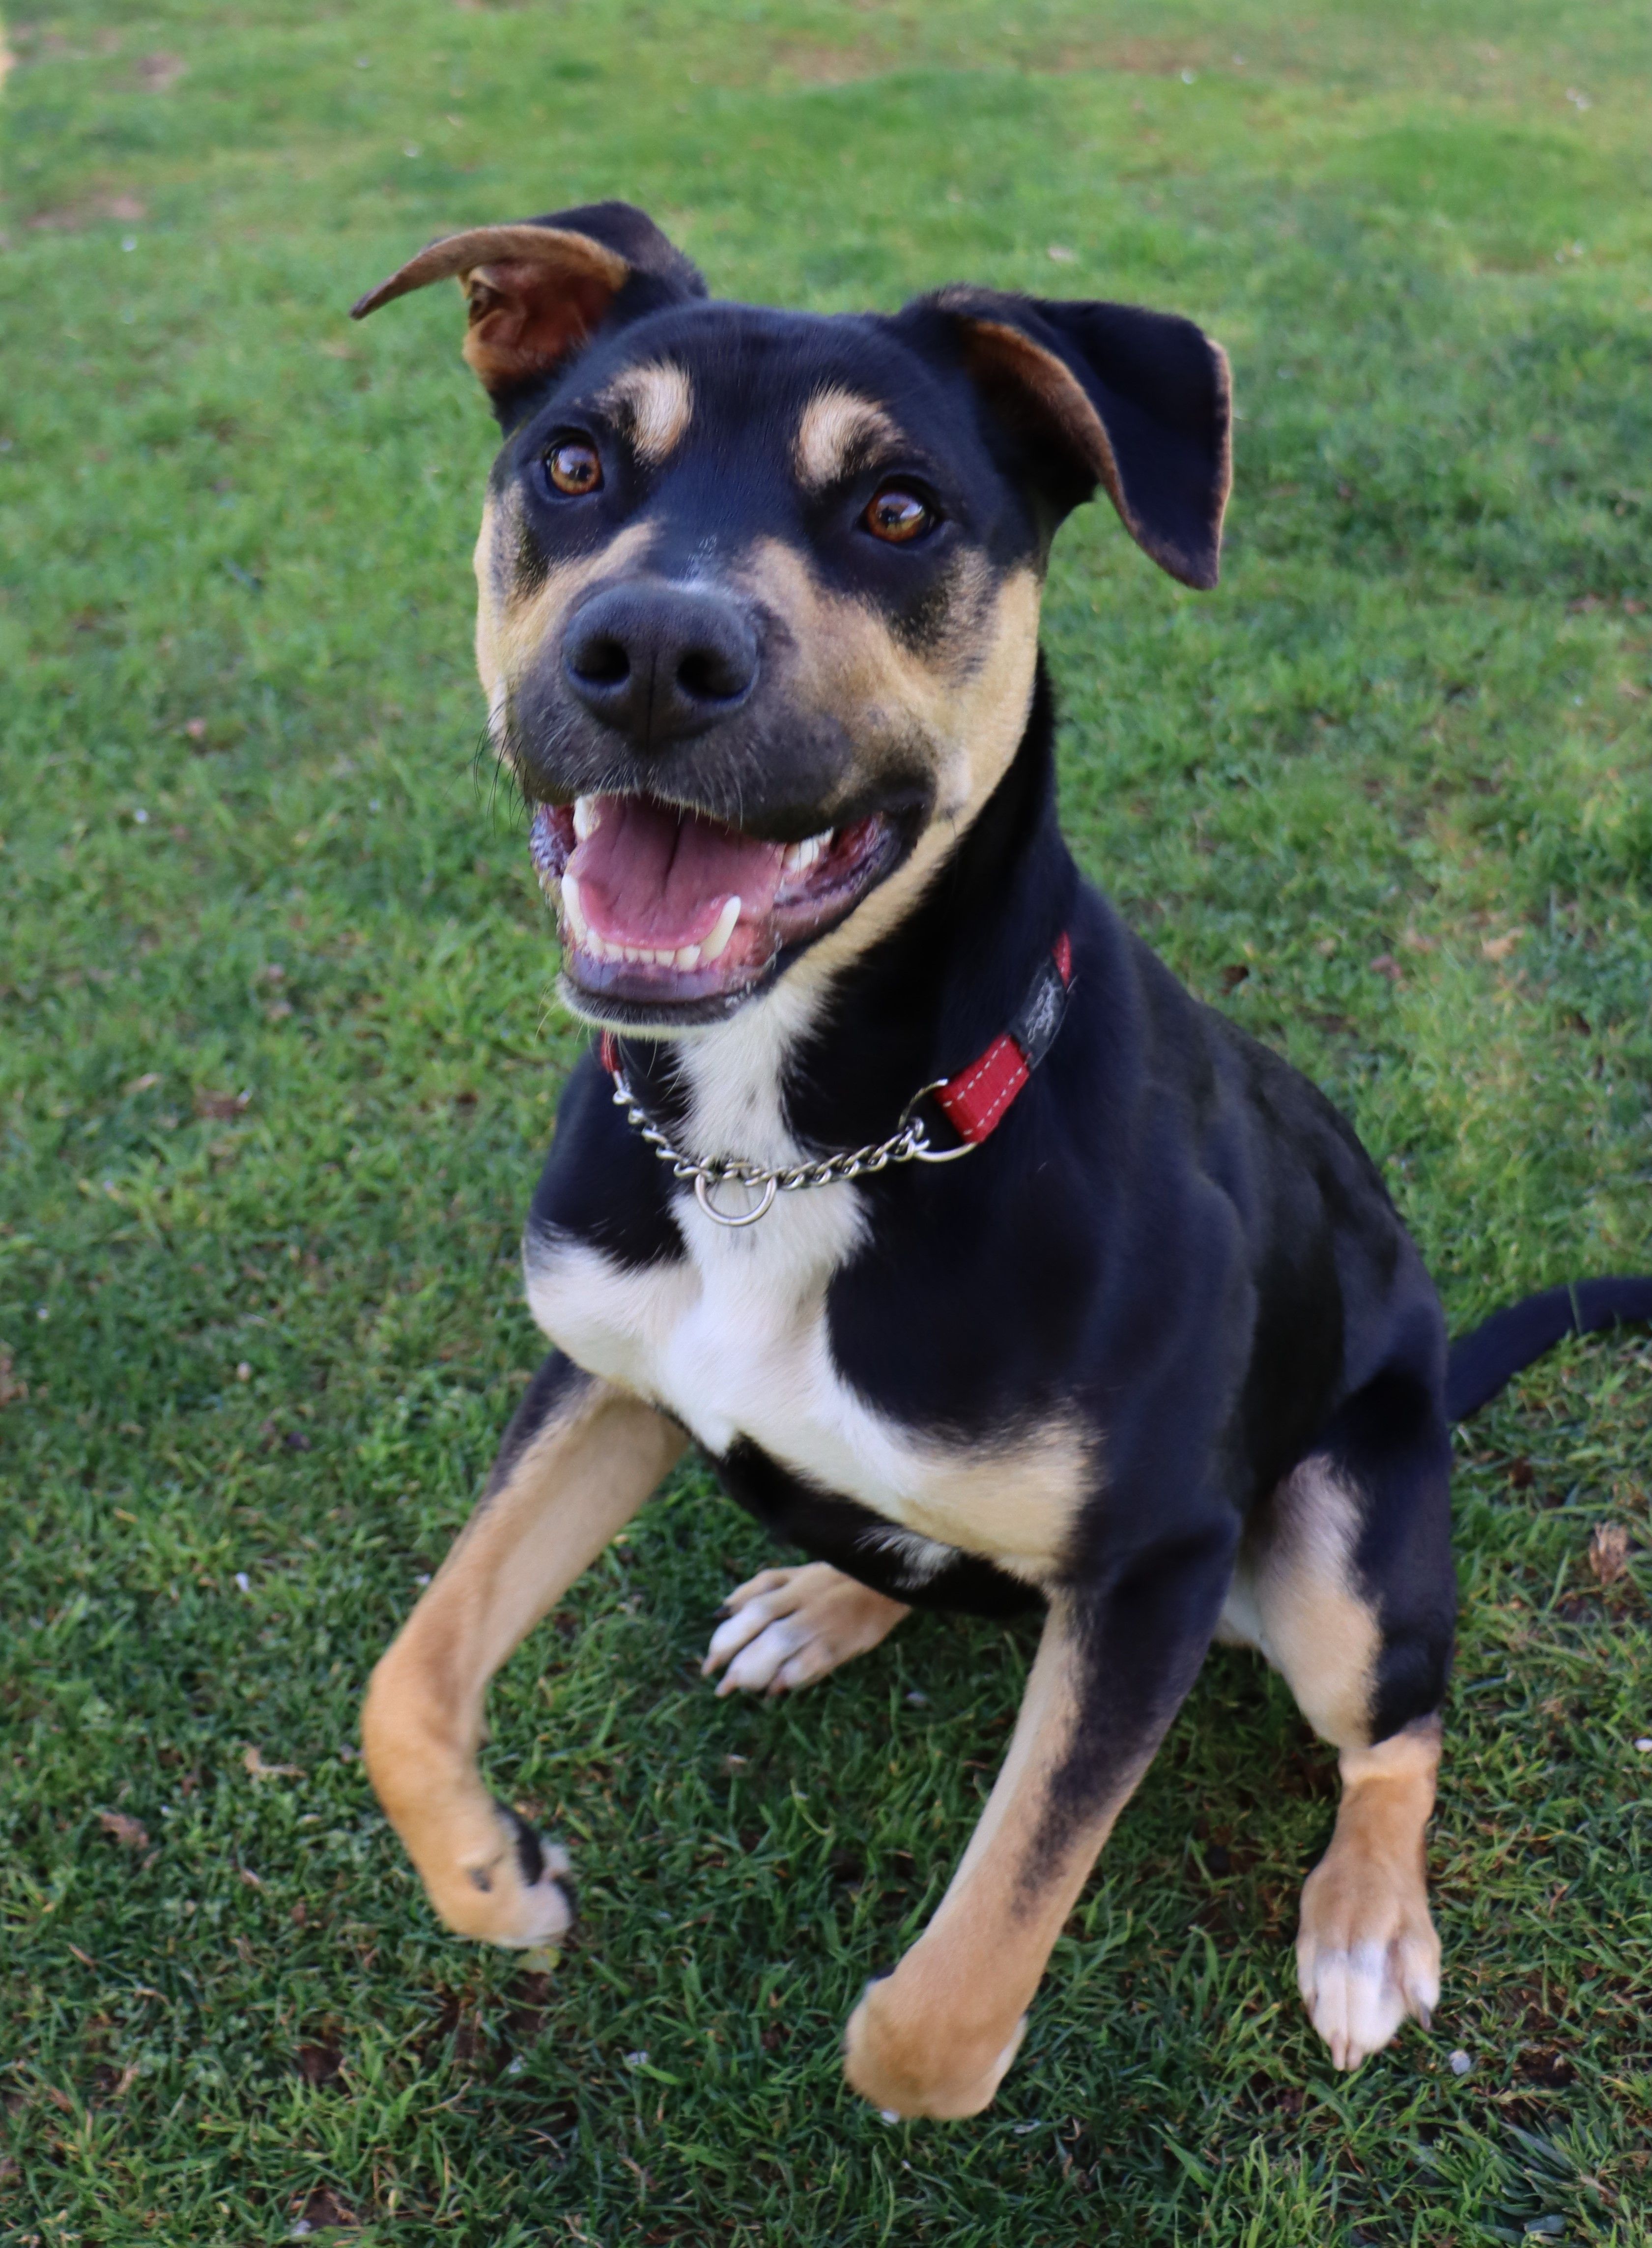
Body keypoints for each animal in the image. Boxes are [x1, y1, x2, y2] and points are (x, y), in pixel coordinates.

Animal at [348, 202, 1652, 2113]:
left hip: (1342, 1547)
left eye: (899, 510)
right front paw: (494, 1877)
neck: (795, 1142)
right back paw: (825, 1596)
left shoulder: (1155, 1565)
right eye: (575, 466)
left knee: (1397, 1730)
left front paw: (911, 2048)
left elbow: (955, 1991)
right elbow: (410, 1673)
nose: (649, 654)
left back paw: (1362, 1925)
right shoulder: (610, 1371)